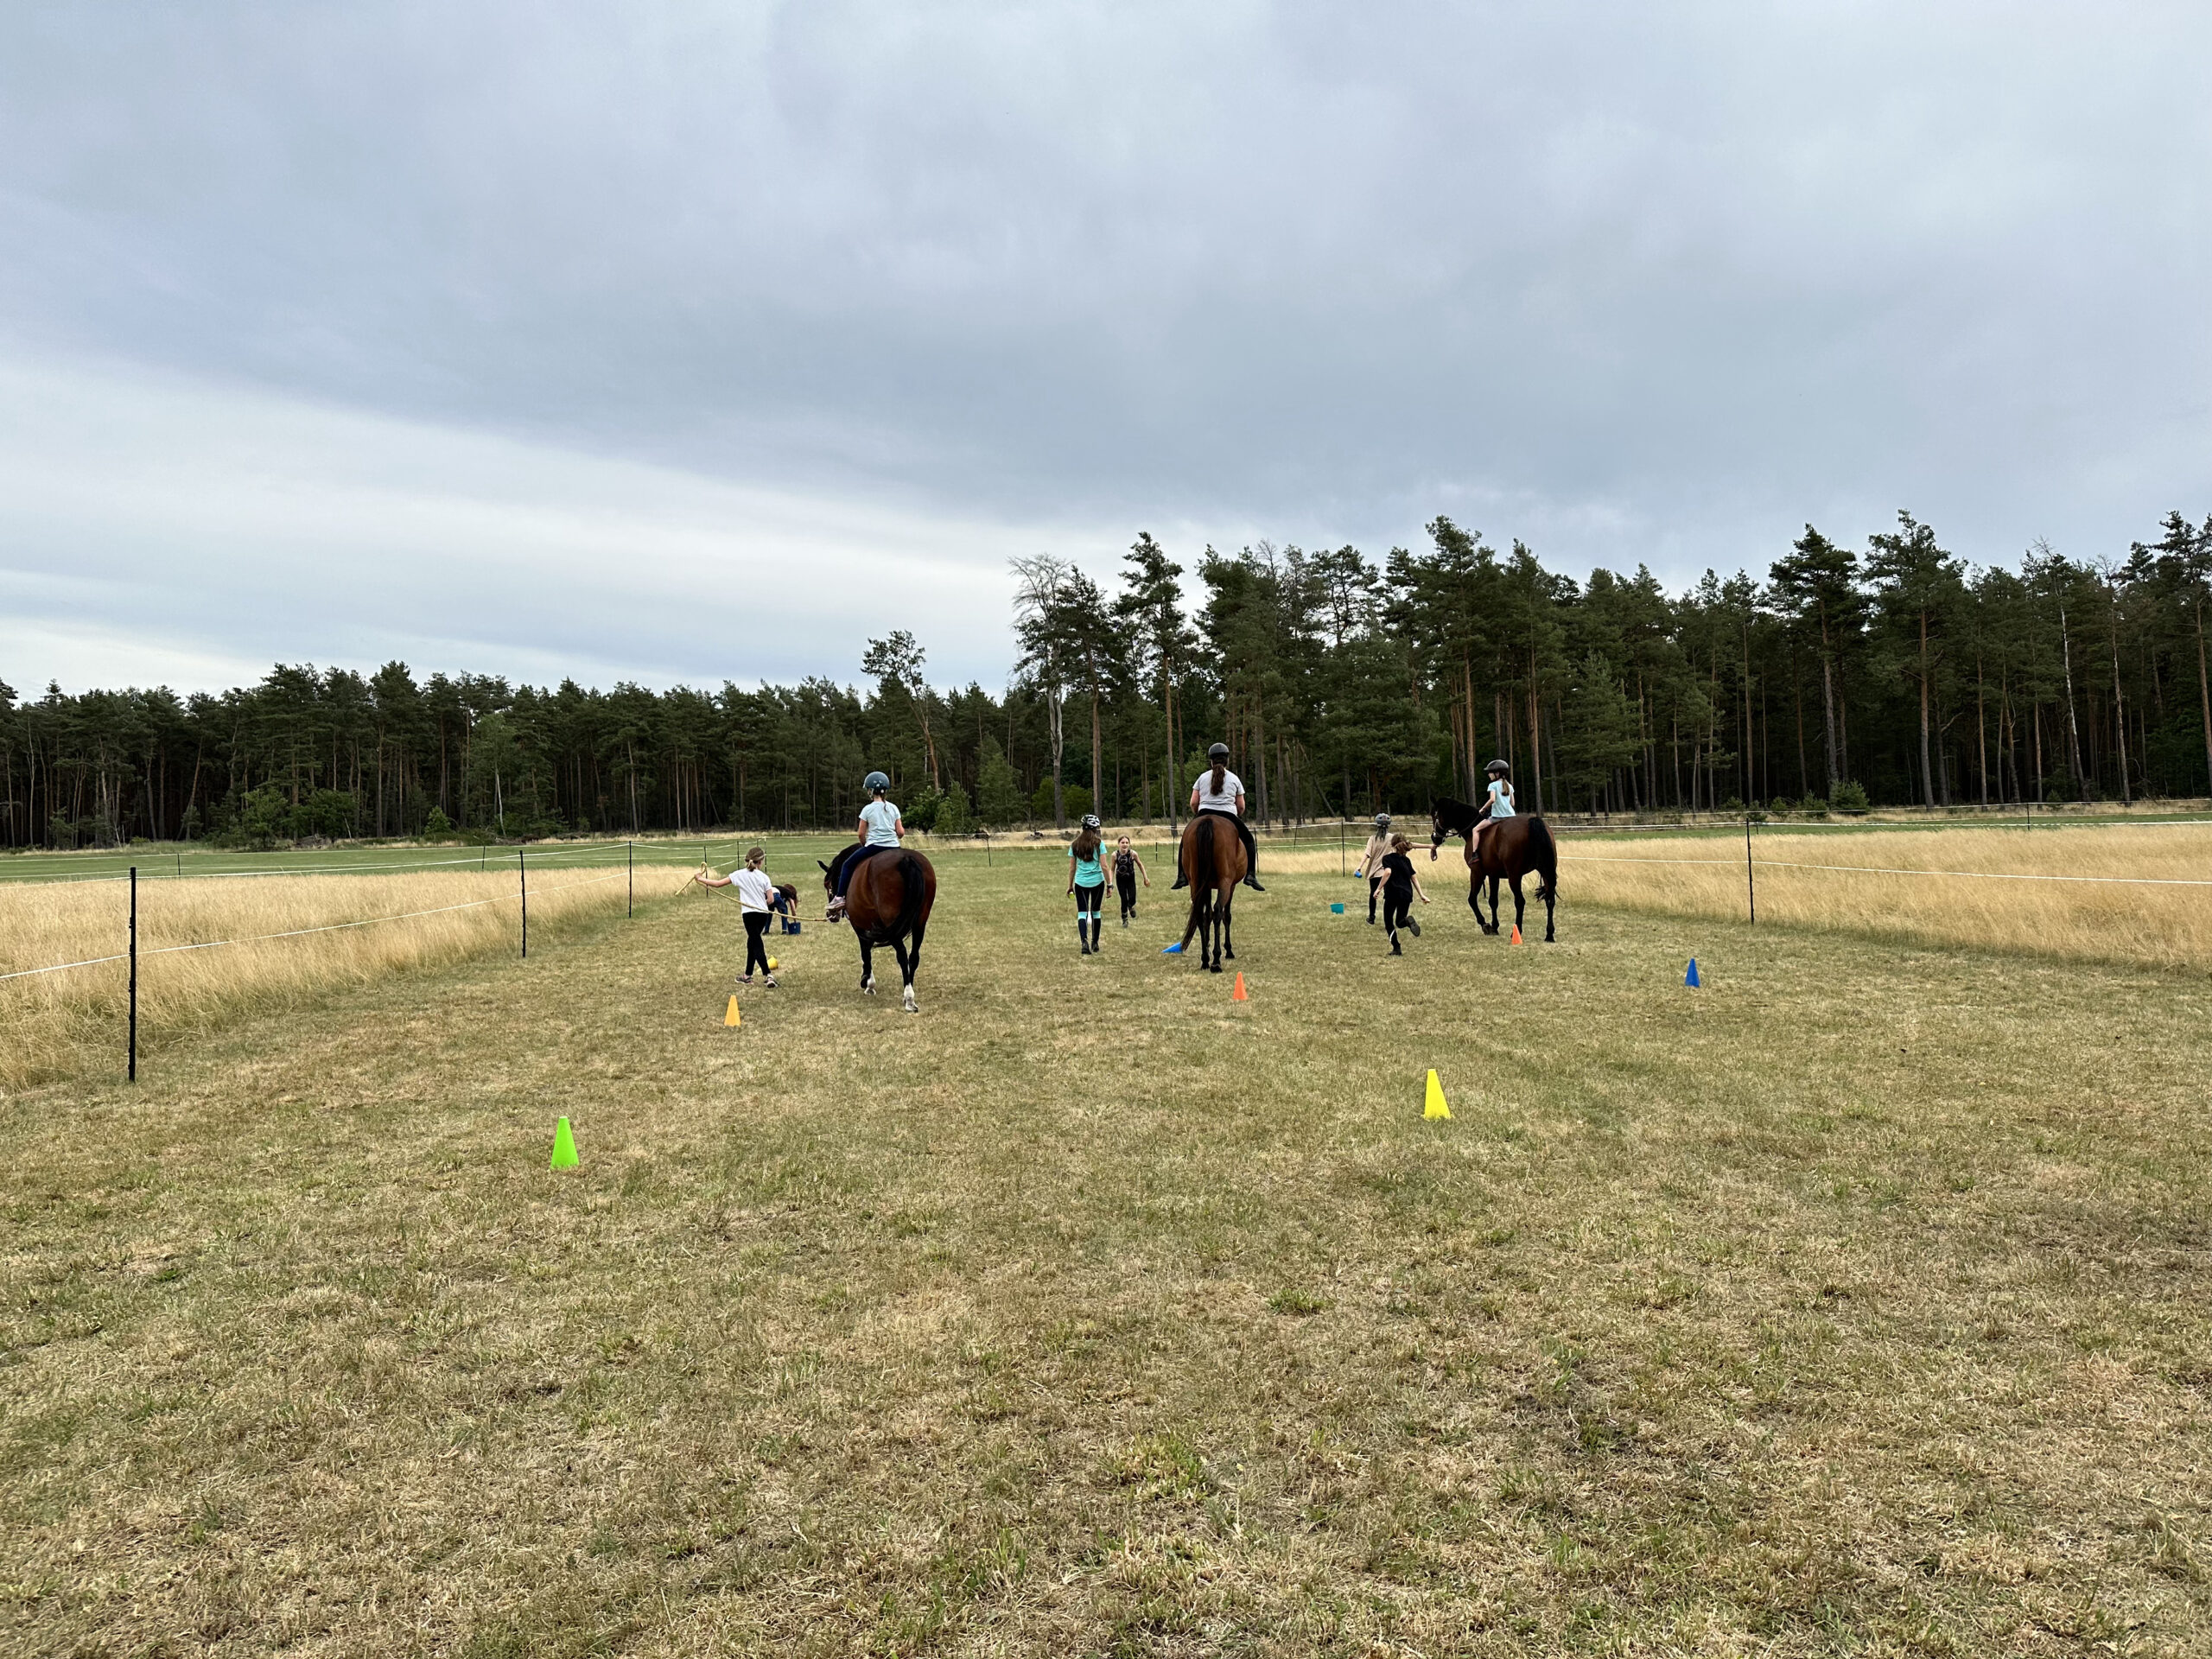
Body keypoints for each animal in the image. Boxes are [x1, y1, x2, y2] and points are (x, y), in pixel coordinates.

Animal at [827, 844, 938, 1013]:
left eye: (827, 885)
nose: (830, 915)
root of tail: (907, 859)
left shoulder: (860, 926)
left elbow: (865, 953)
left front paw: (868, 983)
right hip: (920, 923)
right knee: (914, 956)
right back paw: (908, 992)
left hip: (892, 924)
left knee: (902, 955)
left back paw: (909, 999)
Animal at [1176, 814, 1247, 969]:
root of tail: (1208, 820)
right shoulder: (1231, 886)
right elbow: (1226, 916)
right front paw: (1228, 950)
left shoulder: (1206, 886)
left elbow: (1207, 915)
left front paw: (1207, 946)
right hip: (1225, 882)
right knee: (1219, 910)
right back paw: (1216, 960)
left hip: (1196, 882)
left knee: (1200, 914)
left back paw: (1205, 960)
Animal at [1424, 804, 1566, 946]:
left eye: (1434, 815)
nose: (1434, 838)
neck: (1472, 829)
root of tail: (1533, 821)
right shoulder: (1493, 875)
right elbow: (1493, 901)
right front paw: (1495, 926)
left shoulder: (1476, 873)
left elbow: (1472, 899)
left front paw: (1485, 925)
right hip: (1546, 872)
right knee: (1550, 900)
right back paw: (1549, 934)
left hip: (1514, 876)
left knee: (1520, 901)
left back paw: (1517, 931)